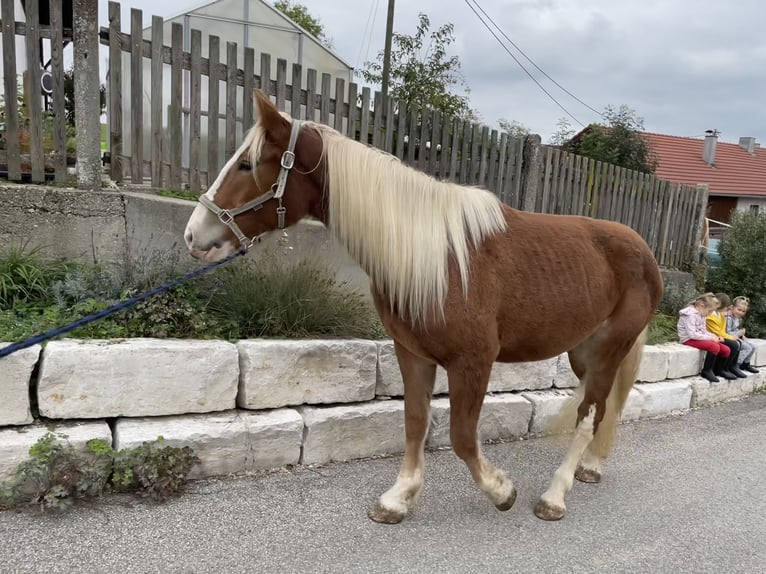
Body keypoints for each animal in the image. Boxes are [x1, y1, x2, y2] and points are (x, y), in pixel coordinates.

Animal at [184, 89, 663, 524]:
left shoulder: (472, 361)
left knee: (589, 414)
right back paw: (590, 467)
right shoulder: (412, 352)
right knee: (603, 407)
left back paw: (554, 496)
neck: (439, 256)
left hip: (607, 350)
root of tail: (644, 250)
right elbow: (415, 421)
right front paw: (398, 498)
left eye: (247, 165)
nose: (194, 235)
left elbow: (462, 437)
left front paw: (501, 490)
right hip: (582, 352)